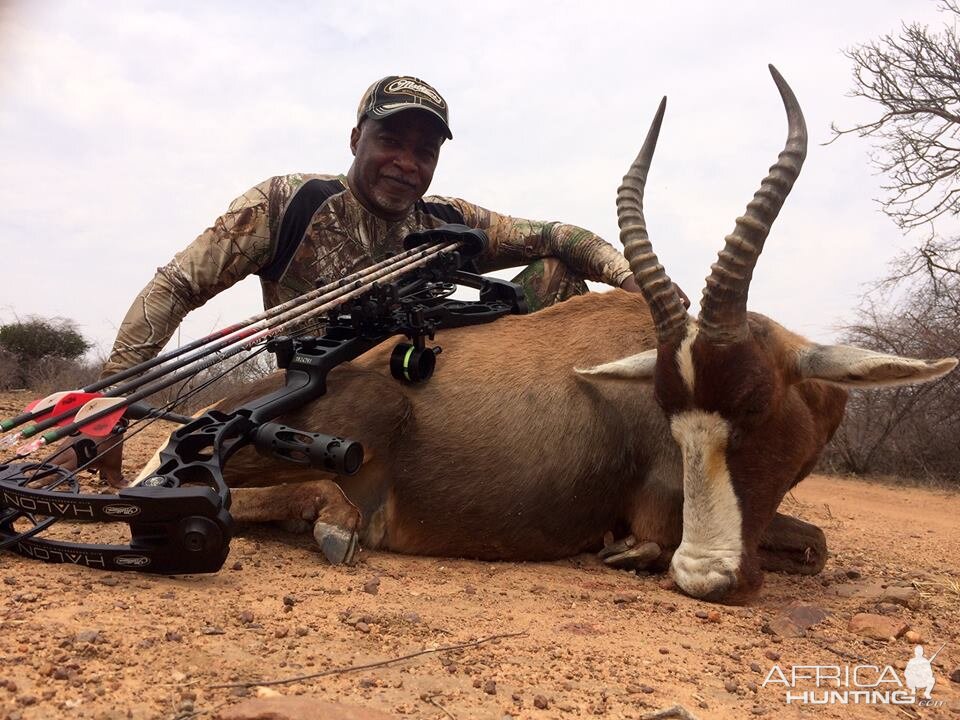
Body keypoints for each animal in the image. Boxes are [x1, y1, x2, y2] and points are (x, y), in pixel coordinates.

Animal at [135, 67, 952, 600]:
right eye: (669, 414)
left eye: (754, 404)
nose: (705, 576)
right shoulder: (658, 511)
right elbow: (781, 542)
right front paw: (629, 556)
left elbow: (819, 546)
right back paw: (336, 524)